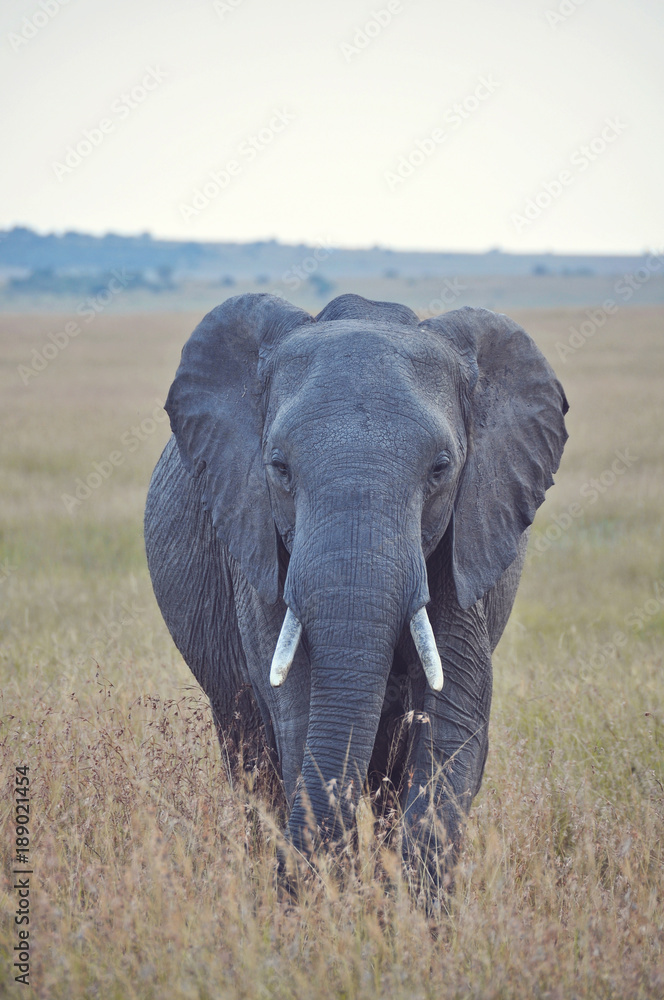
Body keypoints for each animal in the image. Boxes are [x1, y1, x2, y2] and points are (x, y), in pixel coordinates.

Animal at [144, 292, 568, 887]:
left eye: (441, 469)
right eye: (279, 468)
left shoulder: (464, 543)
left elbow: (453, 723)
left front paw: (407, 909)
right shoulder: (255, 542)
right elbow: (300, 714)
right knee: (250, 754)